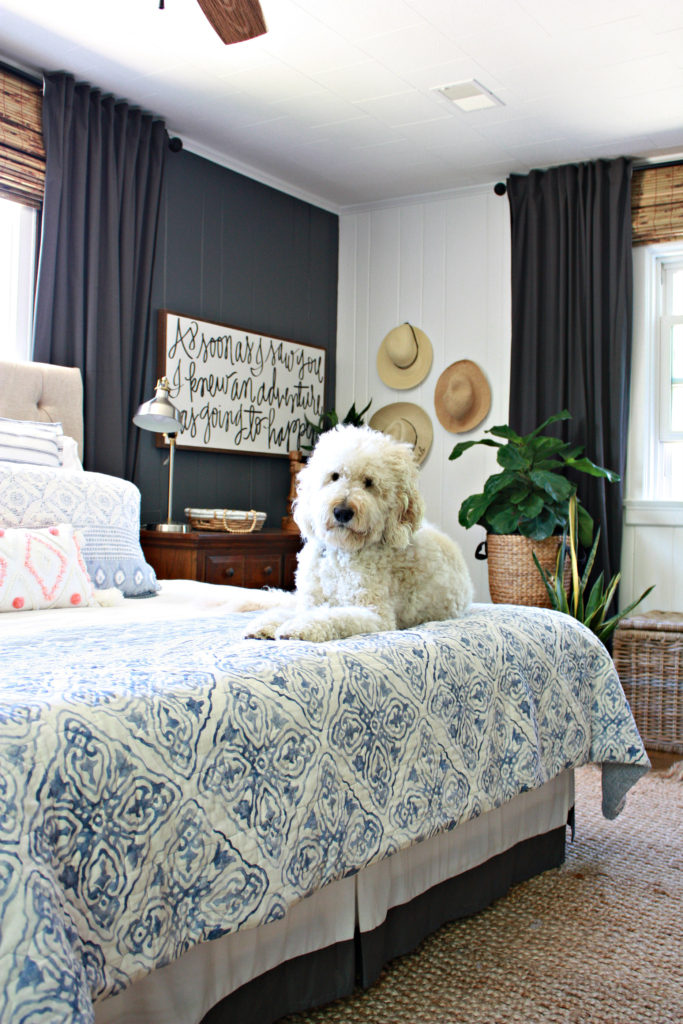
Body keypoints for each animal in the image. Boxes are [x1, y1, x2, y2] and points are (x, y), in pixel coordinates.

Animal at [239, 423, 471, 638]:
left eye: (369, 482)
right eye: (334, 476)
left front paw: (298, 626)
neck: (340, 553)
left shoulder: (375, 615)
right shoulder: (310, 602)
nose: (342, 512)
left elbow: (332, 616)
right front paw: (266, 623)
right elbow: (290, 611)